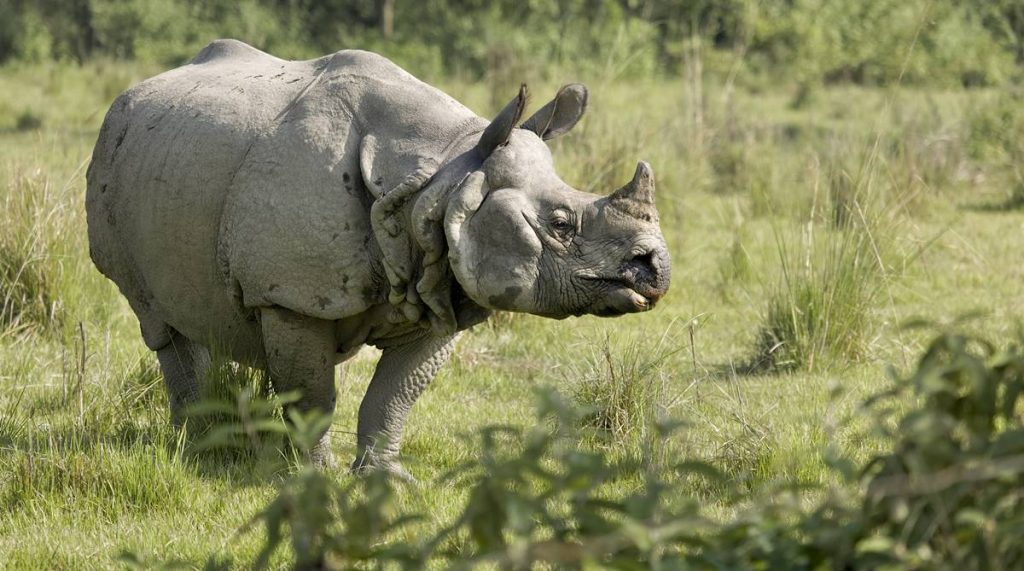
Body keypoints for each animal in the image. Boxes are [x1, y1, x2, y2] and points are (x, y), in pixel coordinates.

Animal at [83, 40, 667, 478]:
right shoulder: (290, 295)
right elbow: (313, 395)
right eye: (561, 225)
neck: (442, 176)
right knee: (159, 321)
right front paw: (313, 477)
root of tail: (130, 95)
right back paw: (198, 447)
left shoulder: (443, 282)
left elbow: (395, 395)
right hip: (117, 157)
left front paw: (386, 478)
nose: (656, 269)